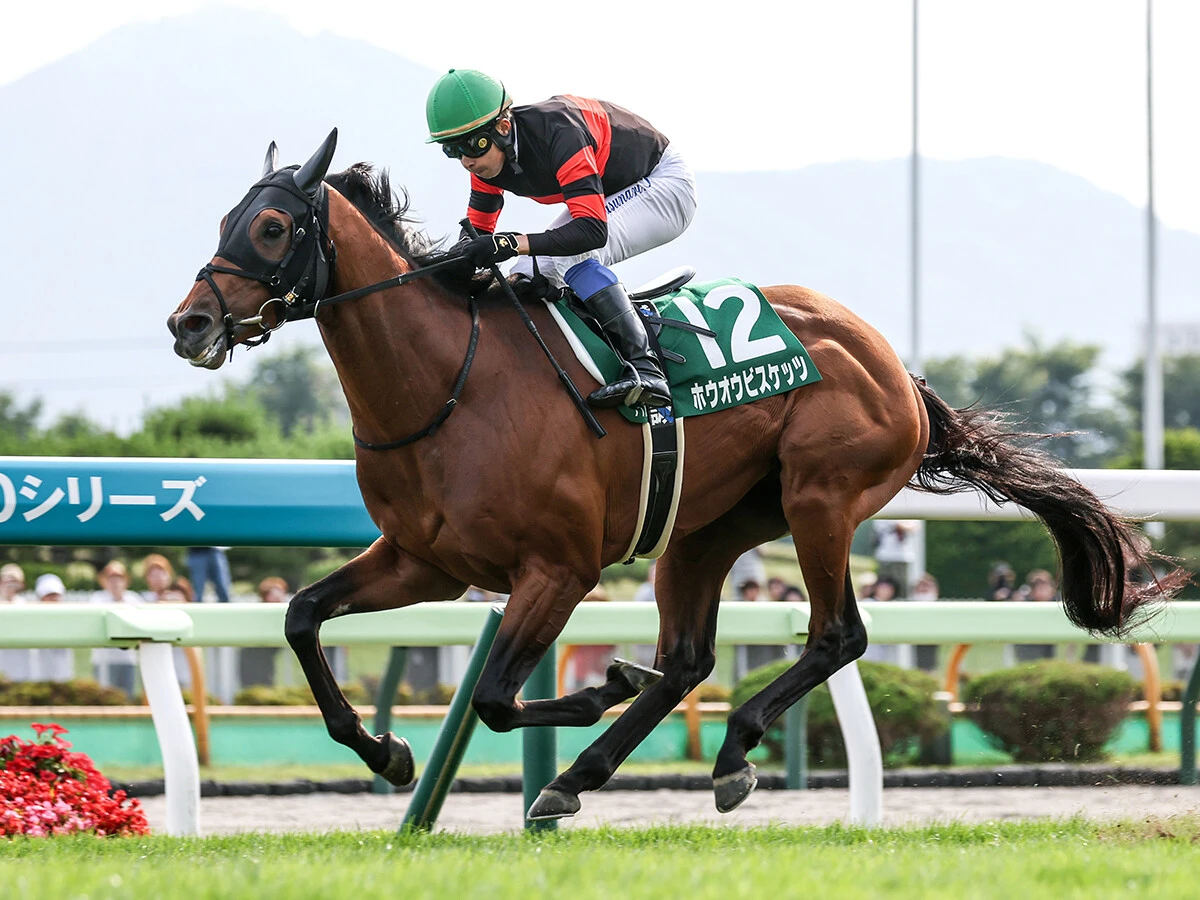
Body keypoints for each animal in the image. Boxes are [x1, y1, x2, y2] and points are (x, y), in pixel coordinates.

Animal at [167, 130, 1185, 820]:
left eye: (270, 226)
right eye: (222, 219)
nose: (189, 324)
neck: (447, 384)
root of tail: (895, 366)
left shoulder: (558, 568)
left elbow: (494, 697)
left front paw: (593, 687)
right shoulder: (427, 562)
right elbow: (303, 618)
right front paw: (387, 754)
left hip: (821, 498)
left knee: (837, 635)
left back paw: (724, 750)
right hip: (705, 530)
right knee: (691, 657)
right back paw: (582, 776)